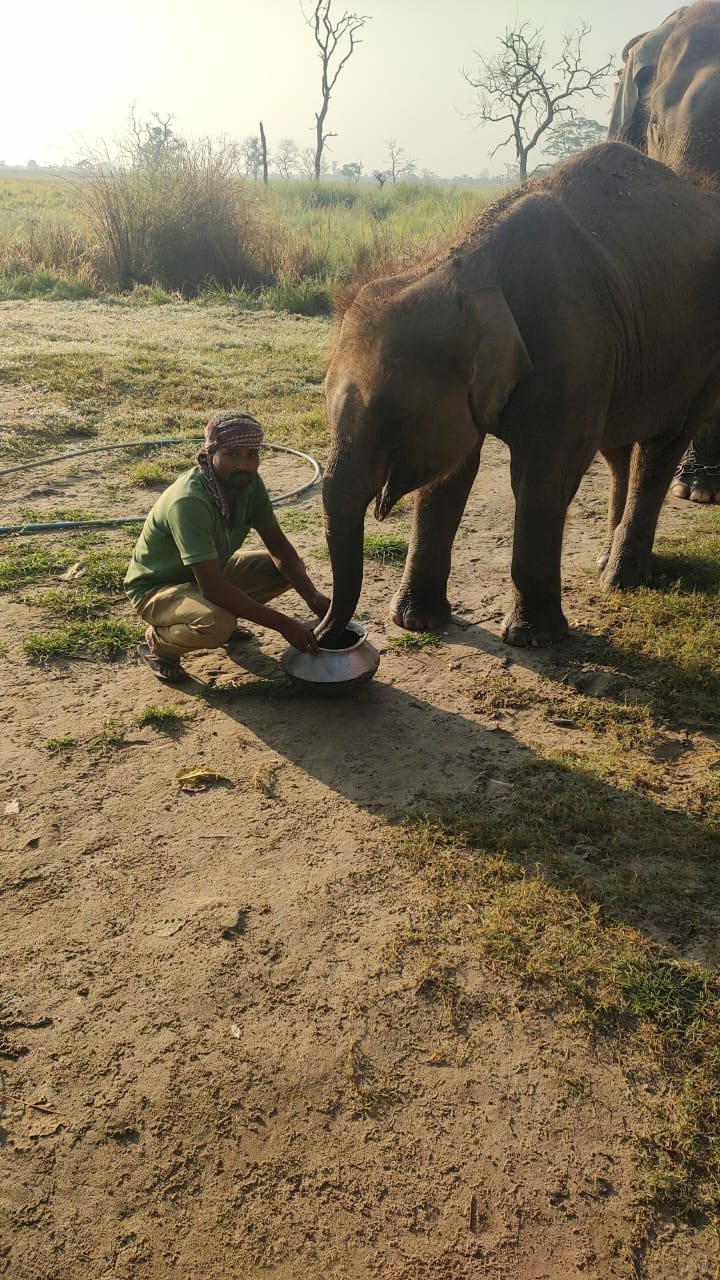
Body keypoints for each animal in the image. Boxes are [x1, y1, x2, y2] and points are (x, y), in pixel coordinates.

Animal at [319, 142, 720, 650]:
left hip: (699, 361)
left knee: (661, 448)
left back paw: (620, 579)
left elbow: (543, 476)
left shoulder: (572, 347)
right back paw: (607, 560)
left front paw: (533, 639)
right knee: (619, 451)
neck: (465, 267)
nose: (324, 634)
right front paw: (415, 621)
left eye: (396, 417)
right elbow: (451, 475)